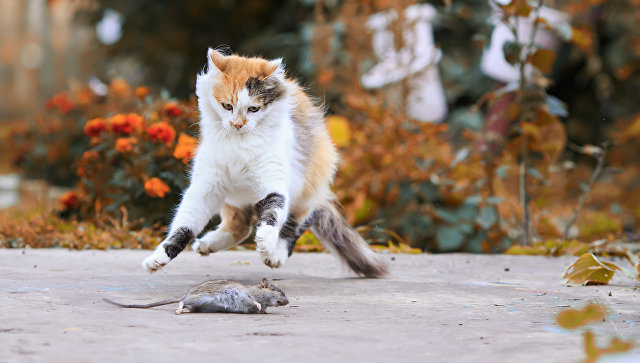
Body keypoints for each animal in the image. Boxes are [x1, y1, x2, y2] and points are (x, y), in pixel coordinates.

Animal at [142, 49, 388, 278]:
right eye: (227, 106)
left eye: (254, 109)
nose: (237, 124)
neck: (239, 144)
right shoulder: (206, 187)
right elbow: (183, 226)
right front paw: (158, 258)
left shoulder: (274, 181)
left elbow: (273, 212)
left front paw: (265, 241)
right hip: (234, 197)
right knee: (240, 227)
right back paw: (207, 244)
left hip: (306, 191)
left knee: (293, 226)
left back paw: (275, 255)